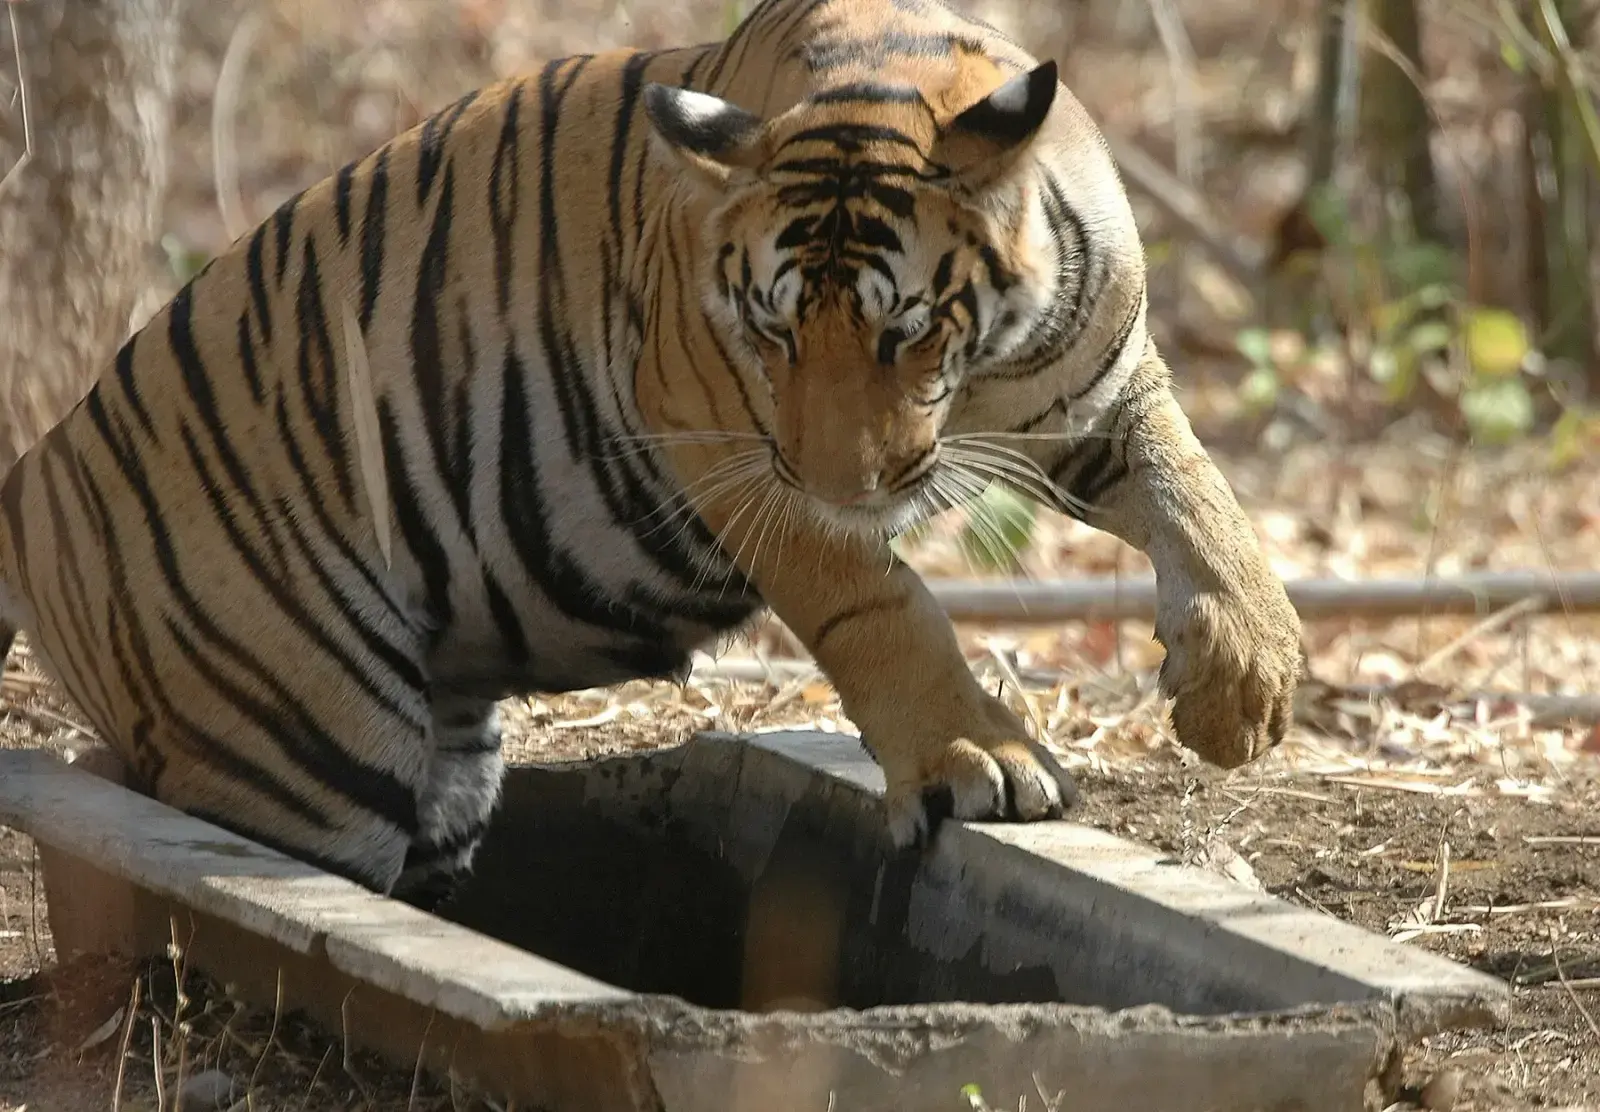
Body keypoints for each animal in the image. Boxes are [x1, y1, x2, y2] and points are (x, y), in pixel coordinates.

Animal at [0, 0, 1303, 908]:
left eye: (906, 331)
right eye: (774, 332)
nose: (848, 484)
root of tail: (39, 469)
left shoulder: (1099, 393)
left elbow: (1201, 495)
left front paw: (1241, 683)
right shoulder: (726, 443)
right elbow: (876, 603)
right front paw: (970, 751)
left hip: (439, 754)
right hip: (309, 738)